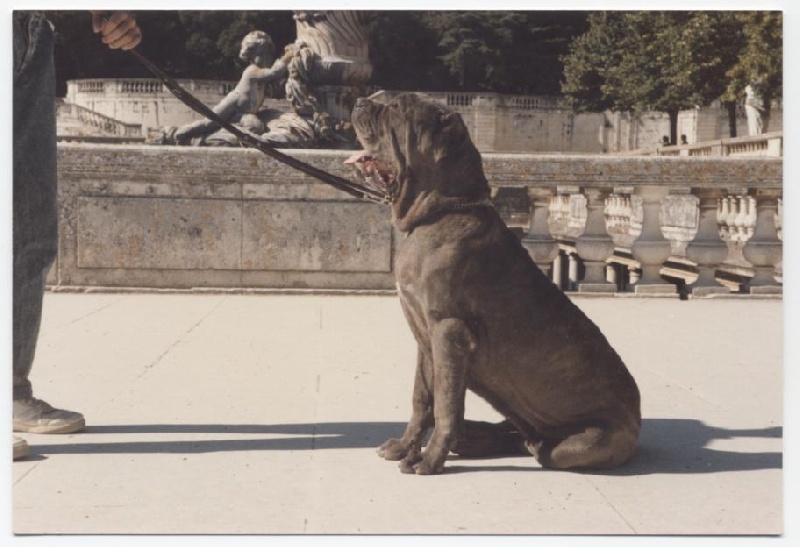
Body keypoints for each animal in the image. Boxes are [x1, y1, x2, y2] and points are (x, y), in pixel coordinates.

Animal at [346, 93, 640, 476]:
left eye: (396, 108)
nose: (361, 100)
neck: (438, 212)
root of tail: (638, 420)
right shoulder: (425, 336)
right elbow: (422, 397)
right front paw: (405, 446)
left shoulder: (449, 332)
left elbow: (445, 405)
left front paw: (428, 459)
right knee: (514, 432)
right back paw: (478, 437)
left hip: (585, 442)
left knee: (541, 448)